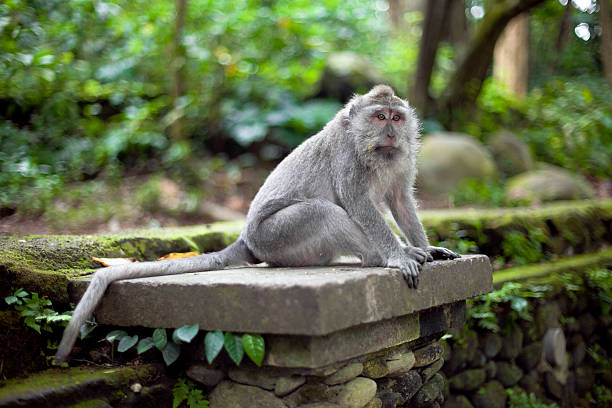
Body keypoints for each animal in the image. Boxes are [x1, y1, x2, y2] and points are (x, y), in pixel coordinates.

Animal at [55, 84, 460, 362]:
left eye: (397, 118)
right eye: (379, 117)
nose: (391, 133)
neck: (373, 150)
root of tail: (247, 239)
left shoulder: (401, 162)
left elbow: (400, 201)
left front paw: (423, 247)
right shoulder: (347, 155)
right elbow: (358, 203)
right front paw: (398, 256)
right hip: (276, 237)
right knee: (324, 213)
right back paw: (377, 257)